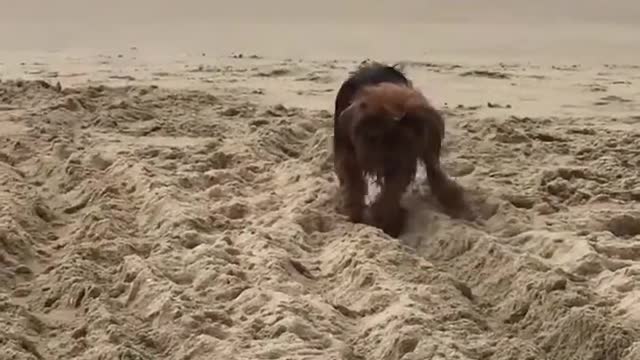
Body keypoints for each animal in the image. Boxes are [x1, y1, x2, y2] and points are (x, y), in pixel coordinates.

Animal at [332, 62, 472, 236]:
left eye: (405, 139)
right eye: (374, 137)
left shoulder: (403, 161)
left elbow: (392, 190)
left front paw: (385, 221)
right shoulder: (349, 152)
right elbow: (353, 181)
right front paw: (356, 214)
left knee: (432, 168)